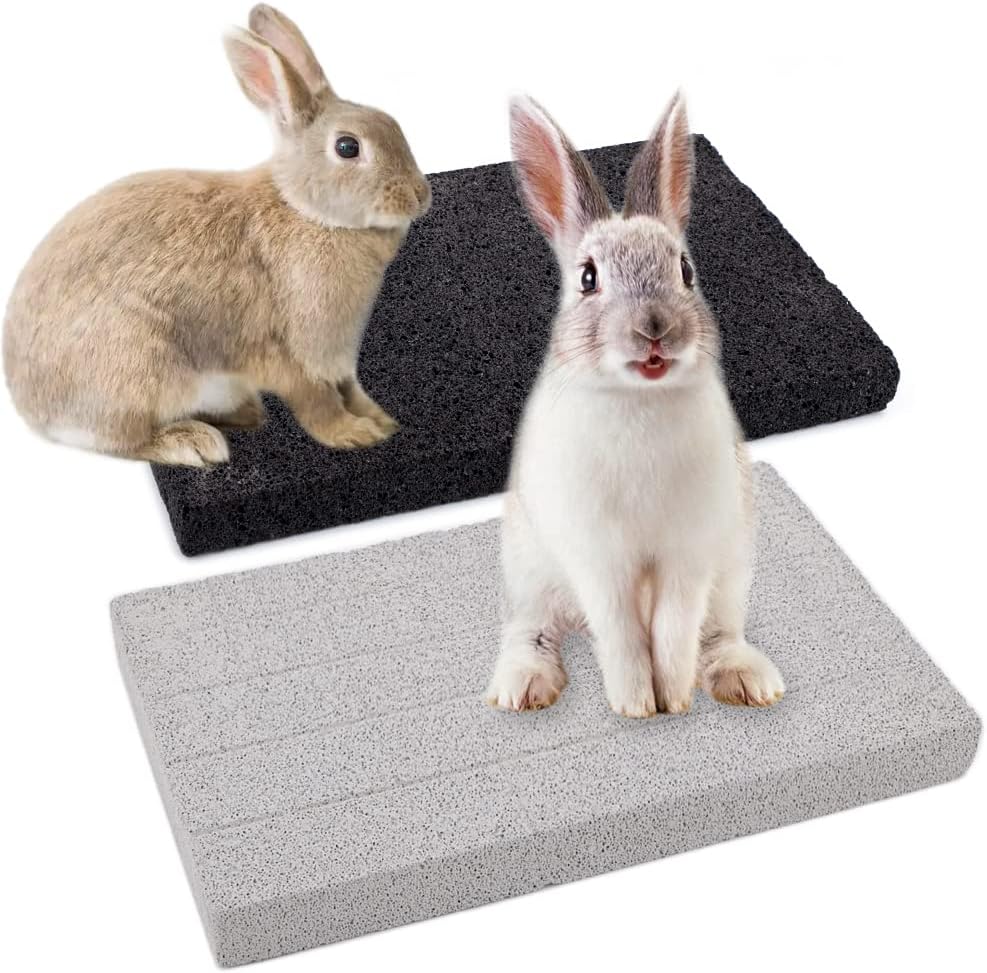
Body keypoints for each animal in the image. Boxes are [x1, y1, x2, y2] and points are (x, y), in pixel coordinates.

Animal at [2, 4, 431, 467]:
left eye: (393, 123)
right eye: (348, 147)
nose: (419, 196)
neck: (305, 210)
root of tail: (32, 410)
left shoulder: (339, 356)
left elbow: (352, 390)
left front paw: (383, 421)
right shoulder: (291, 351)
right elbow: (316, 401)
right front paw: (355, 435)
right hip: (137, 366)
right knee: (125, 440)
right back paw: (192, 442)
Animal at [485, 93, 785, 718]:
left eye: (686, 270)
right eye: (587, 278)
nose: (654, 329)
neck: (639, 400)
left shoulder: (689, 553)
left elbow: (673, 630)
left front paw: (673, 700)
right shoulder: (599, 557)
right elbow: (621, 631)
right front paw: (635, 706)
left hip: (731, 571)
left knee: (718, 633)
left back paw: (749, 681)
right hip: (529, 571)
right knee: (531, 629)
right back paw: (521, 688)